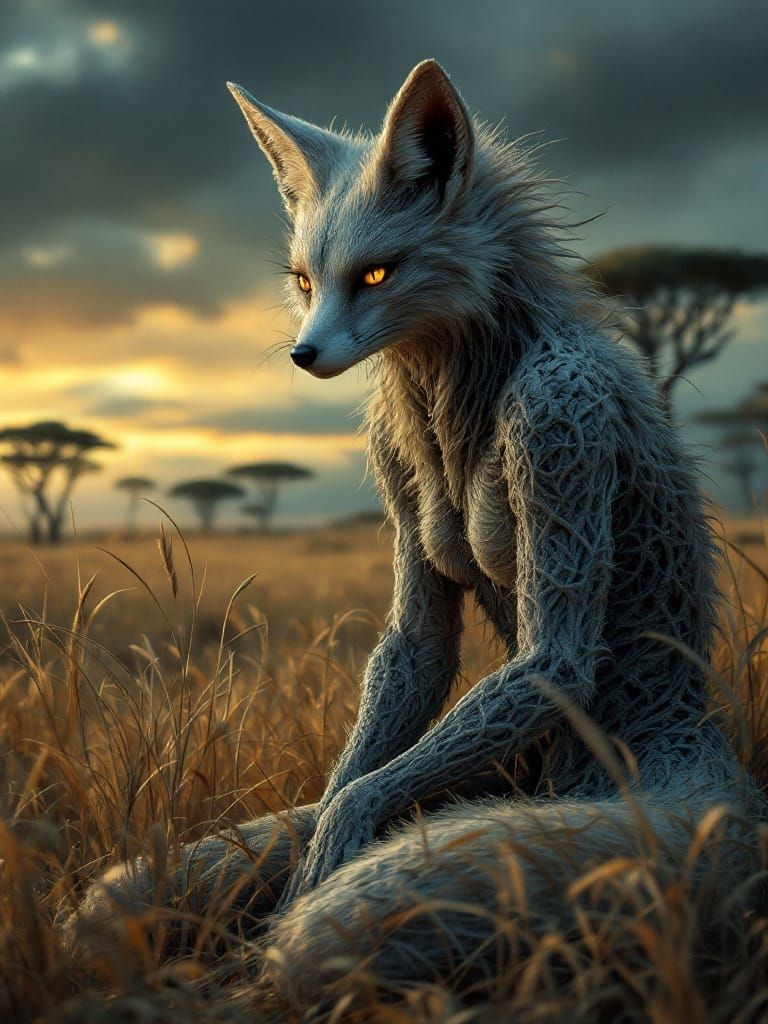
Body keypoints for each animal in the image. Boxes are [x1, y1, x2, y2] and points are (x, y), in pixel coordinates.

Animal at [73, 60, 761, 1007]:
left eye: (374, 275)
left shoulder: (561, 417)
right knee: (111, 903)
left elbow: (386, 785)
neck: (464, 381)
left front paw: (322, 858)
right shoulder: (393, 477)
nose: (303, 354)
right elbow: (395, 688)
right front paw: (314, 840)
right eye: (304, 280)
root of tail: (708, 754)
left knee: (324, 932)